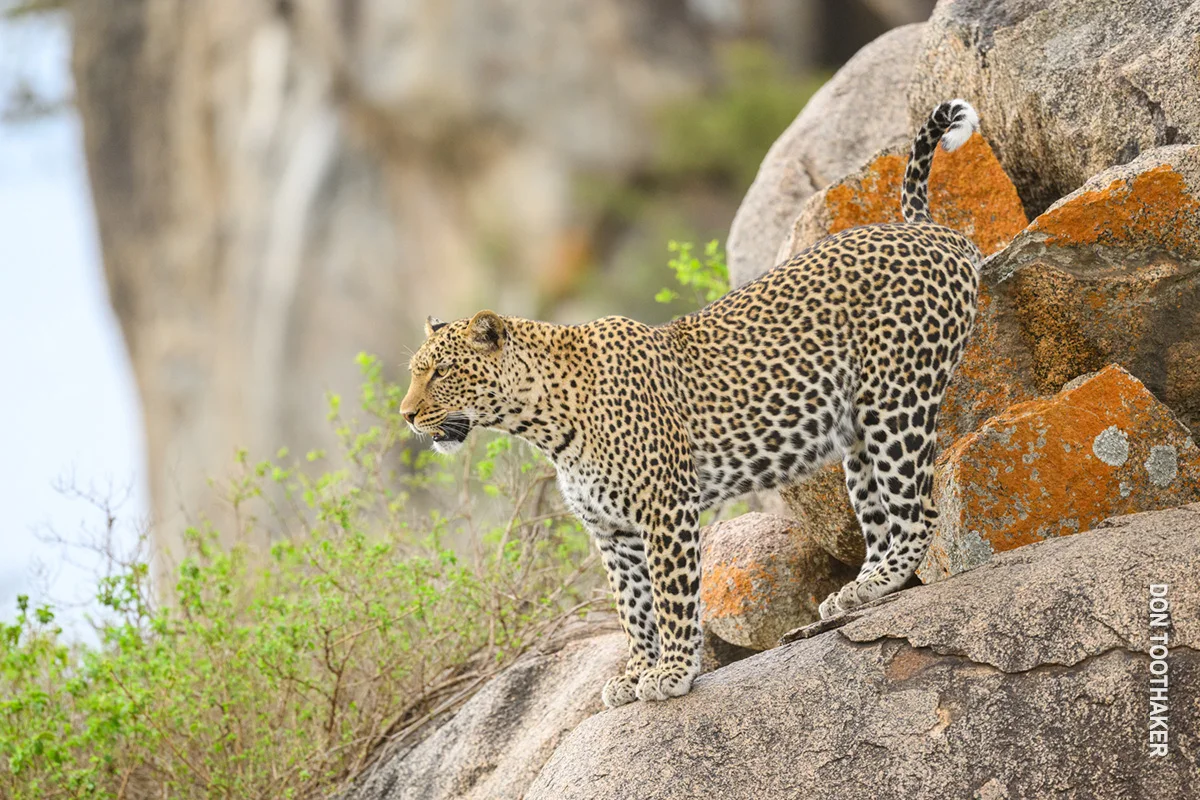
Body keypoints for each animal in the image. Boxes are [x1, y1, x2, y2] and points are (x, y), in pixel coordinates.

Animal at [400, 99, 982, 707]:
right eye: (415, 373)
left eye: (440, 372)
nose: (406, 415)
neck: (544, 423)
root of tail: (929, 230)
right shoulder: (612, 533)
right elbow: (633, 609)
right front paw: (634, 674)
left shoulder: (666, 507)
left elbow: (672, 597)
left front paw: (673, 673)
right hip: (858, 436)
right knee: (882, 516)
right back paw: (859, 592)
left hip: (897, 402)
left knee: (920, 511)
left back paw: (882, 579)